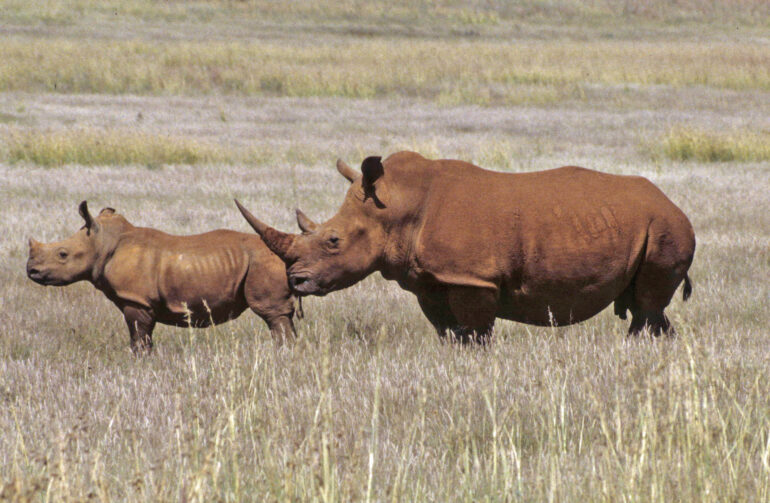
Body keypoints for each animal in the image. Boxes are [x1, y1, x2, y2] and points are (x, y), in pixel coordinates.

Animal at [27, 202, 298, 353]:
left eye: (62, 254)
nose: (31, 271)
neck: (103, 242)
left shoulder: (136, 300)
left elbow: (139, 340)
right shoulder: (141, 301)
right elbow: (143, 339)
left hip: (262, 263)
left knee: (272, 314)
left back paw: (282, 355)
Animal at [234, 151, 695, 342]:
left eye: (333, 241)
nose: (296, 281)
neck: (396, 207)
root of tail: (674, 204)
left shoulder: (473, 278)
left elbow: (475, 332)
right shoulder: (430, 280)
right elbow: (449, 332)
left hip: (665, 227)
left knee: (648, 305)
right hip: (652, 224)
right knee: (648, 308)